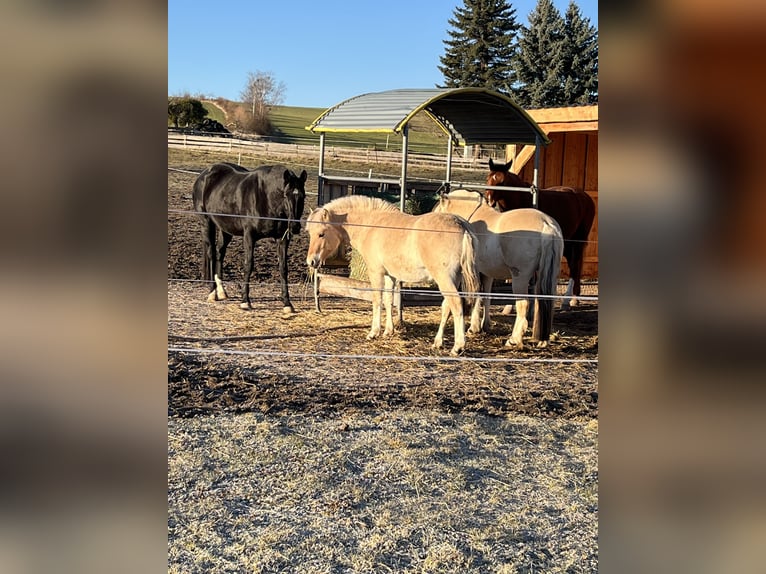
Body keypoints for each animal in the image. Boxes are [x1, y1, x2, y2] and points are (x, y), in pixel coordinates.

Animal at [192, 162, 308, 312]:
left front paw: (287, 303)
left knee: (220, 253)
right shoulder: (249, 236)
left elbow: (283, 268)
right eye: (285, 195)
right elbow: (248, 265)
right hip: (207, 223)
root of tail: (203, 175)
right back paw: (212, 293)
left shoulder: (282, 239)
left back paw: (222, 291)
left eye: (303, 196)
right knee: (211, 253)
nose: (294, 227)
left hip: (225, 229)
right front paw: (245, 301)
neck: (266, 196)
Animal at [304, 196, 480, 358]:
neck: (372, 225)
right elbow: (388, 300)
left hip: (444, 279)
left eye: (321, 234)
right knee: (447, 307)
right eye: (310, 233)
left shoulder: (376, 272)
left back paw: (458, 347)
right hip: (454, 278)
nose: (311, 261)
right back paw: (437, 342)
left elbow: (377, 300)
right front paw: (388, 331)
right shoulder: (390, 275)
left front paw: (374, 332)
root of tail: (461, 225)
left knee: (456, 305)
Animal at [436, 191, 568, 348]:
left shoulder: (476, 272)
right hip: (549, 275)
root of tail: (546, 224)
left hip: (519, 278)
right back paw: (542, 340)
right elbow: (486, 296)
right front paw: (484, 325)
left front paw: (474, 327)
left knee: (523, 305)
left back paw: (513, 340)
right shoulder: (487, 273)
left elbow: (478, 296)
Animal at [486, 160, 600, 308]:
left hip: (578, 240)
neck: (523, 200)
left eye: (503, 181)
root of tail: (586, 198)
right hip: (568, 241)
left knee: (575, 265)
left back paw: (567, 300)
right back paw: (574, 297)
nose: (489, 200)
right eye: (488, 178)